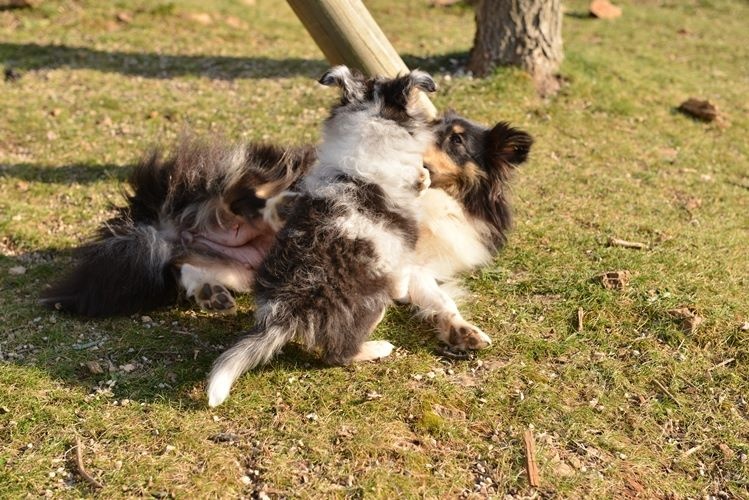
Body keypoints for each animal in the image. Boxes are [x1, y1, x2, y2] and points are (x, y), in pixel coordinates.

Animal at [206, 66, 438, 406]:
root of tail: (286, 311)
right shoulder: (402, 246)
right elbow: (403, 273)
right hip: (370, 304)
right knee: (337, 354)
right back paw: (377, 347)